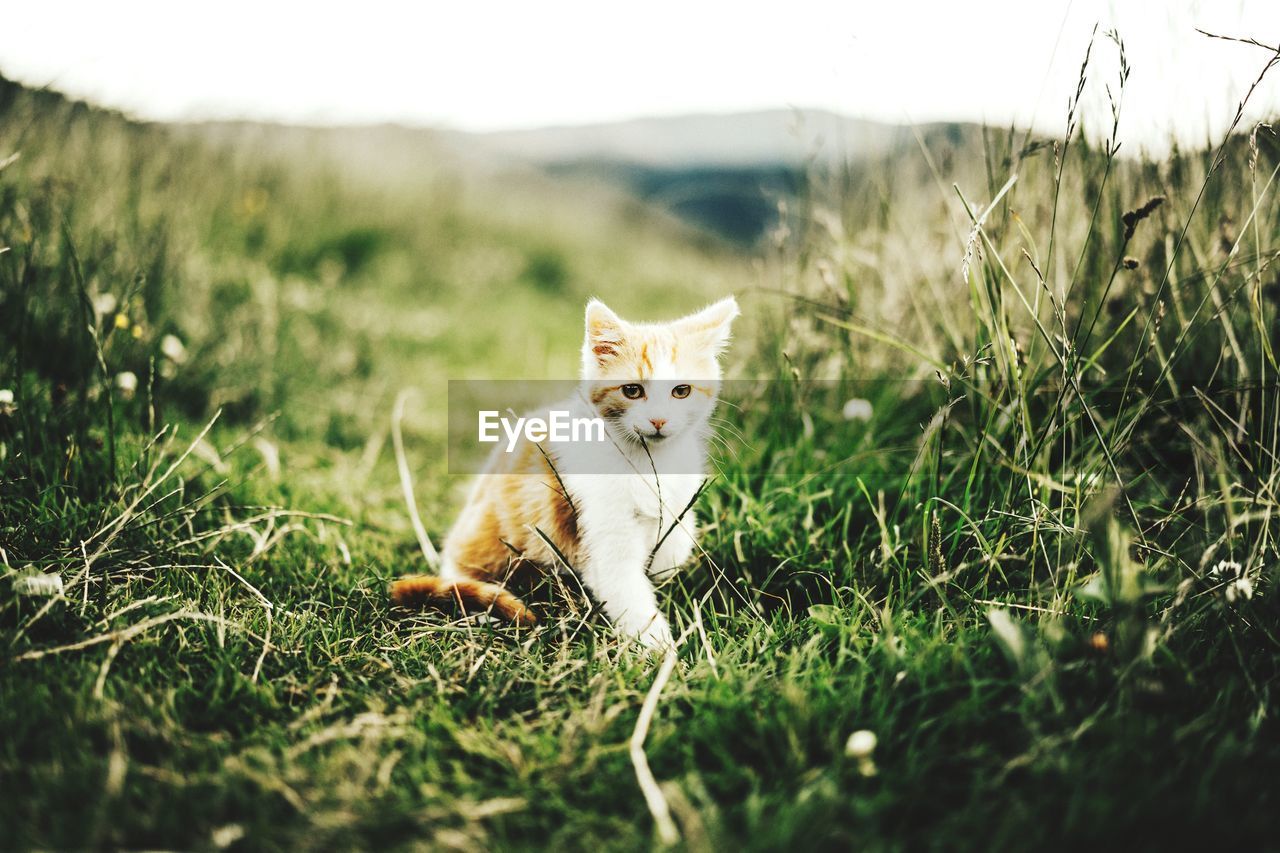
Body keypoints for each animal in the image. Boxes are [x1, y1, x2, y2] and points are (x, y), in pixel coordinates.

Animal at [386, 294, 742, 645]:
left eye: (681, 391)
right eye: (632, 390)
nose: (658, 420)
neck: (648, 461)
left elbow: (676, 540)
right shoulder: (599, 528)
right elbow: (625, 589)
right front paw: (660, 650)